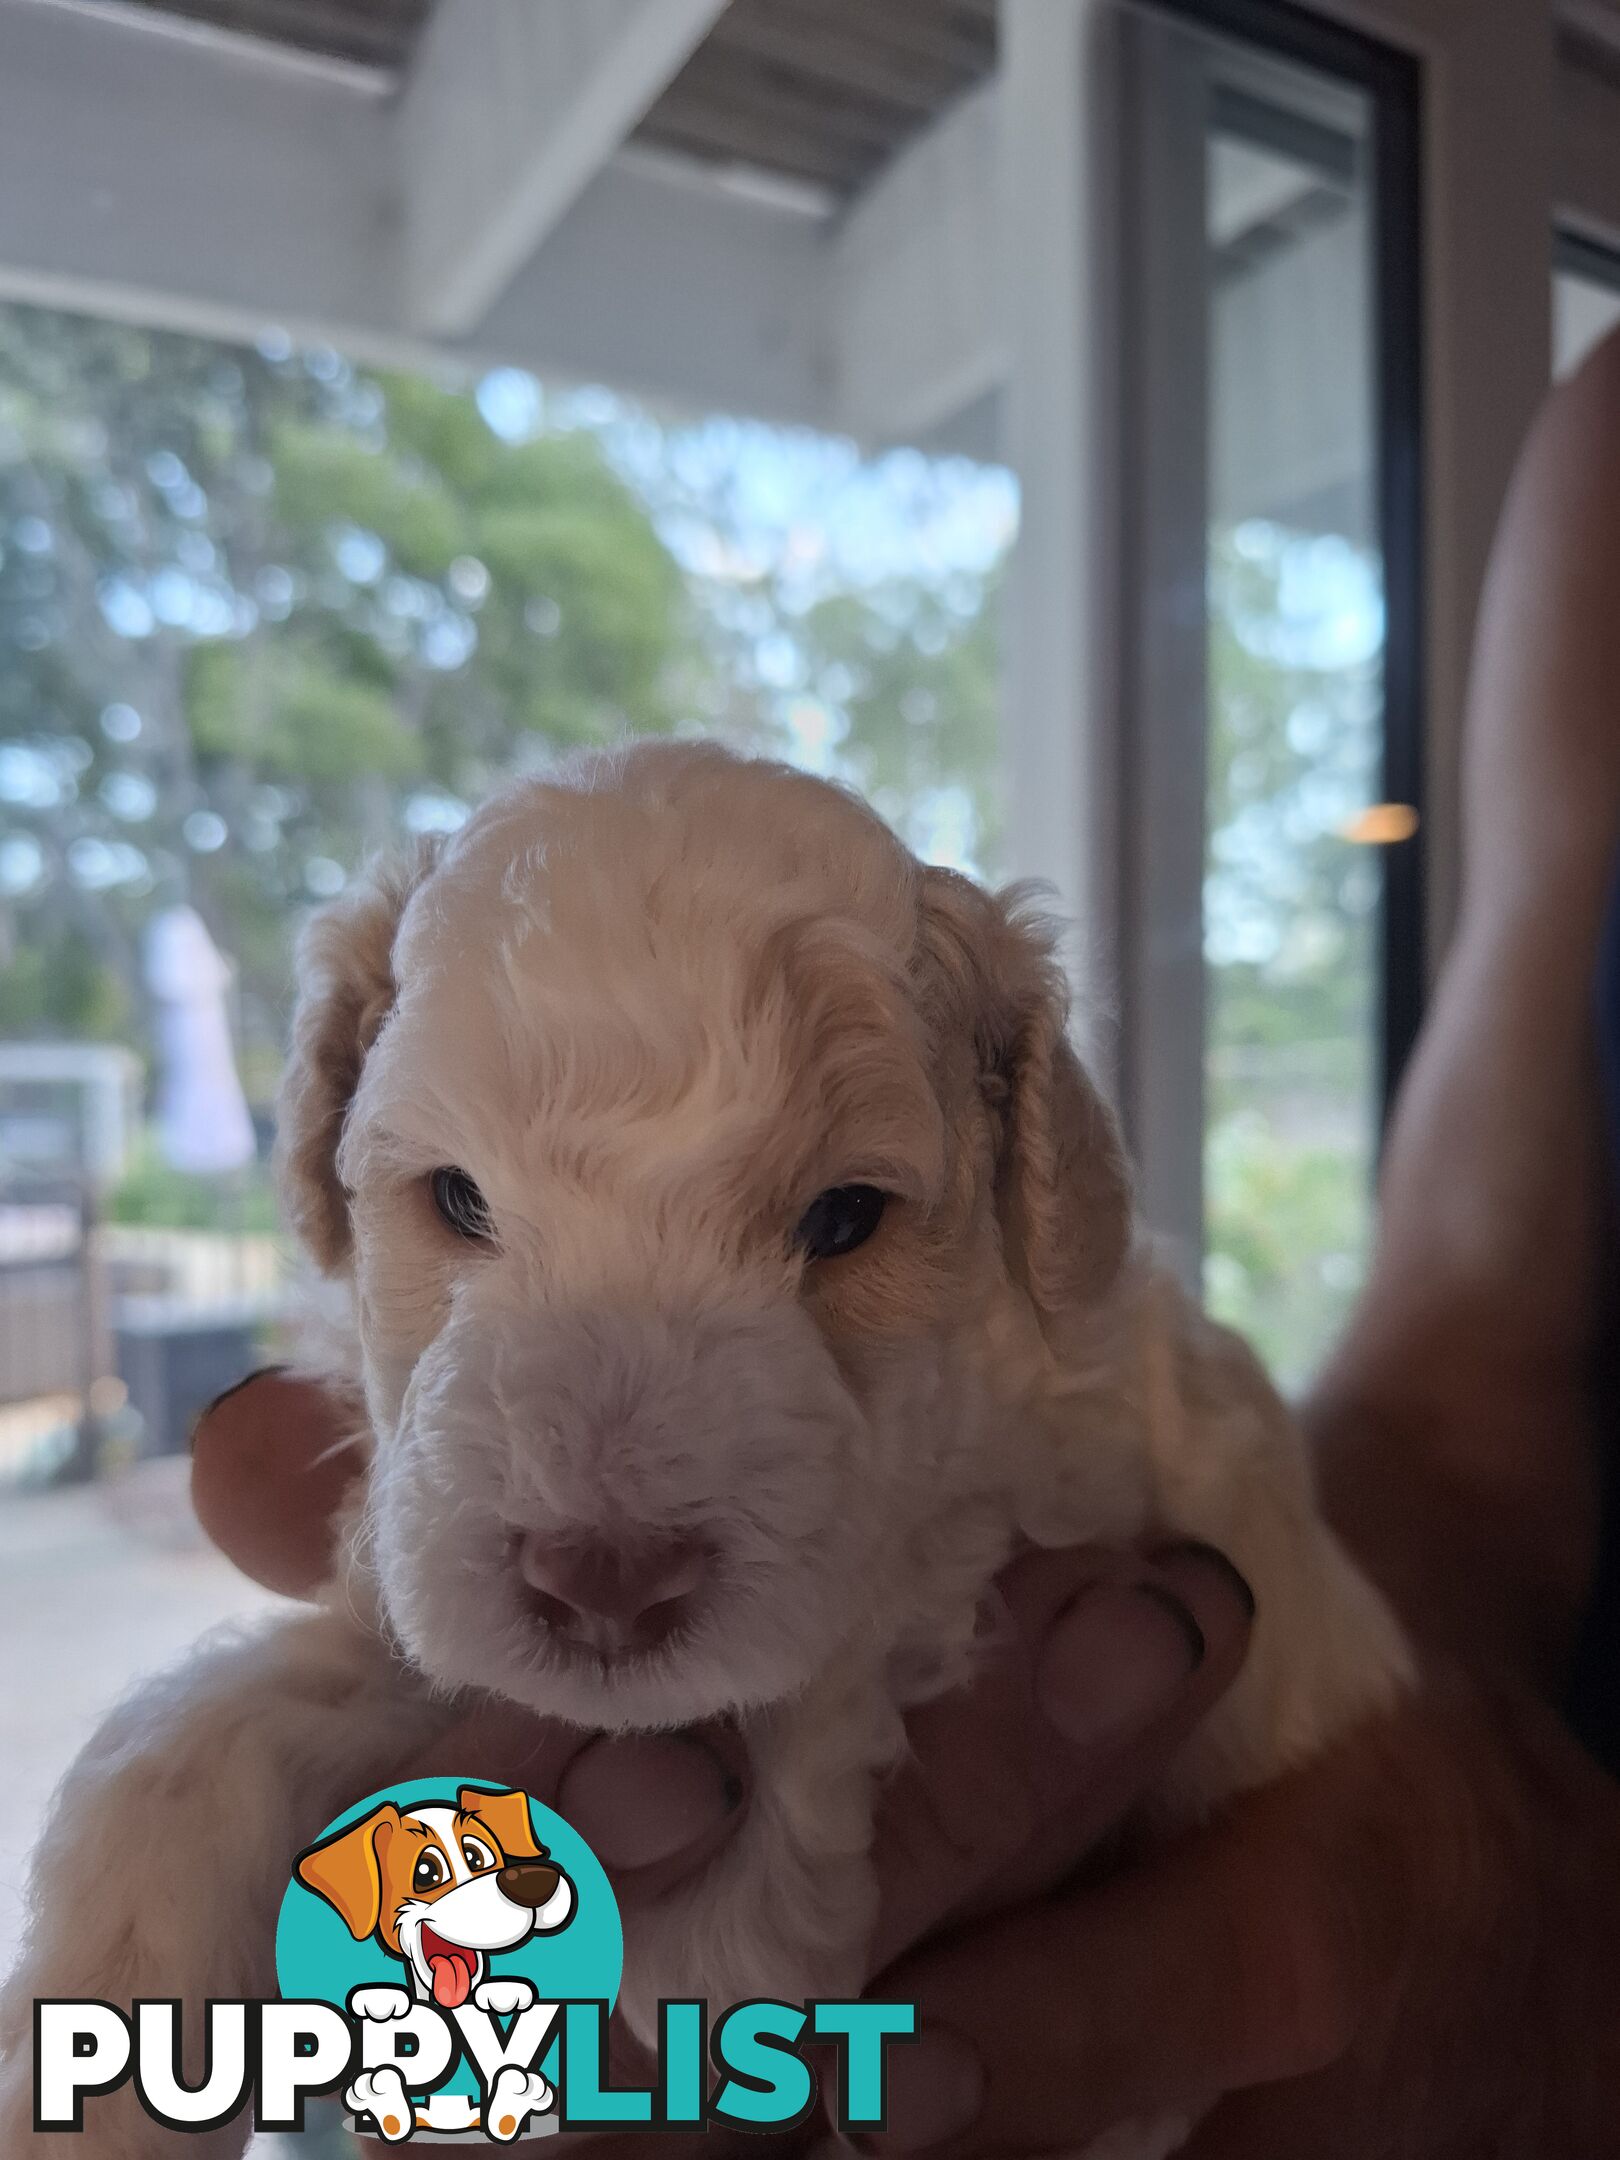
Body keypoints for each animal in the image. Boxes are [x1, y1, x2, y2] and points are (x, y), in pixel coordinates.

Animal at [0, 743, 1408, 2160]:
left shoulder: (1071, 1459)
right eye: (458, 1199)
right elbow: (210, 1738)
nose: (604, 1588)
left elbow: (893, 1584)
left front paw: (729, 1908)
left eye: (845, 1218)